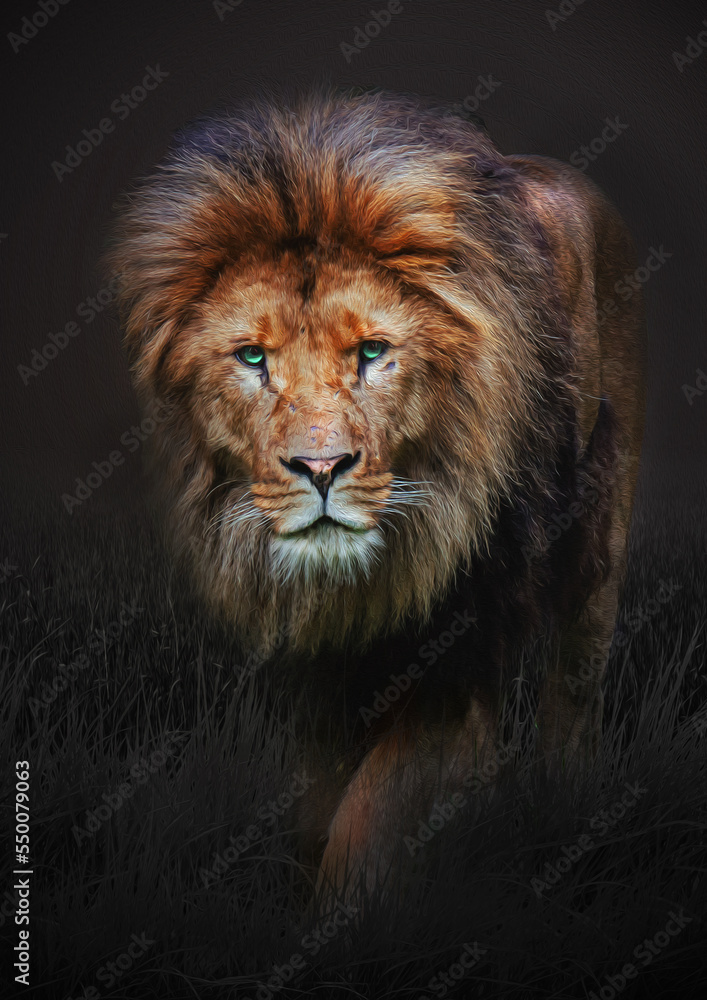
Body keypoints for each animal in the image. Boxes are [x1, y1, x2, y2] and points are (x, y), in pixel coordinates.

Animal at [106, 88, 645, 905]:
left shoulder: (462, 652)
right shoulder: (319, 675)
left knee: (571, 697)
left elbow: (367, 819)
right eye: (252, 358)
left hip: (596, 538)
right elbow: (321, 805)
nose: (321, 467)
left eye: (371, 352)